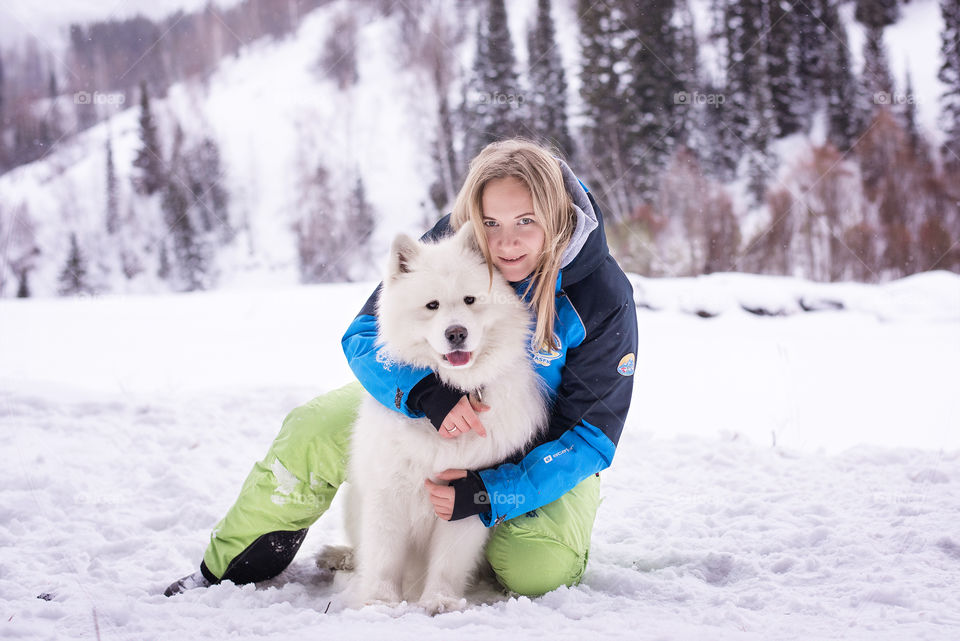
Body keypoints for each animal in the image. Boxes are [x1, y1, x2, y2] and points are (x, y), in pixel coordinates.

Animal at [322, 225, 548, 616]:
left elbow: (448, 562)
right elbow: (384, 557)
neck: (457, 390)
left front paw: (440, 600)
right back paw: (342, 557)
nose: (456, 333)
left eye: (470, 300)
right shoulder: (388, 494)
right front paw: (381, 602)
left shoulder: (465, 499)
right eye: (432, 306)